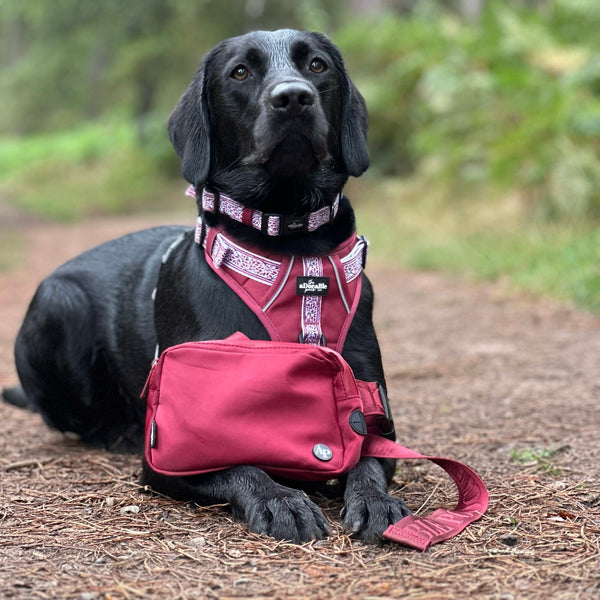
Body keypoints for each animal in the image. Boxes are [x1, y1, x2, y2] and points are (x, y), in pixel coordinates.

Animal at [3, 29, 408, 544]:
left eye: (317, 66)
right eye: (240, 72)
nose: (293, 97)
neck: (292, 244)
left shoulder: (376, 416)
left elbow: (370, 462)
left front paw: (373, 500)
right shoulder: (172, 455)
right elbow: (240, 463)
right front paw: (280, 500)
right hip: (60, 303)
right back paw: (118, 430)